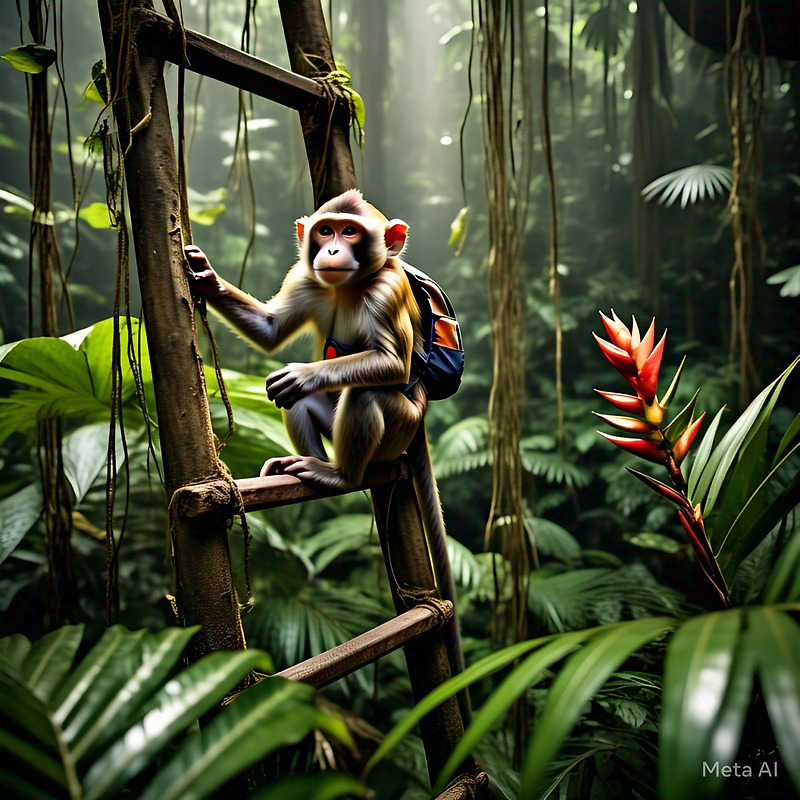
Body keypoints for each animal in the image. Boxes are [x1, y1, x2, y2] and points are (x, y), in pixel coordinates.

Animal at [184, 190, 469, 720]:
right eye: (325, 231)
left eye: (350, 231)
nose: (332, 250)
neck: (350, 288)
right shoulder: (304, 278)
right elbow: (271, 330)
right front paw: (206, 274)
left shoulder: (386, 292)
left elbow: (390, 363)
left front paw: (303, 371)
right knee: (302, 403)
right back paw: (300, 469)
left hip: (399, 428)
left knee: (365, 393)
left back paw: (341, 475)